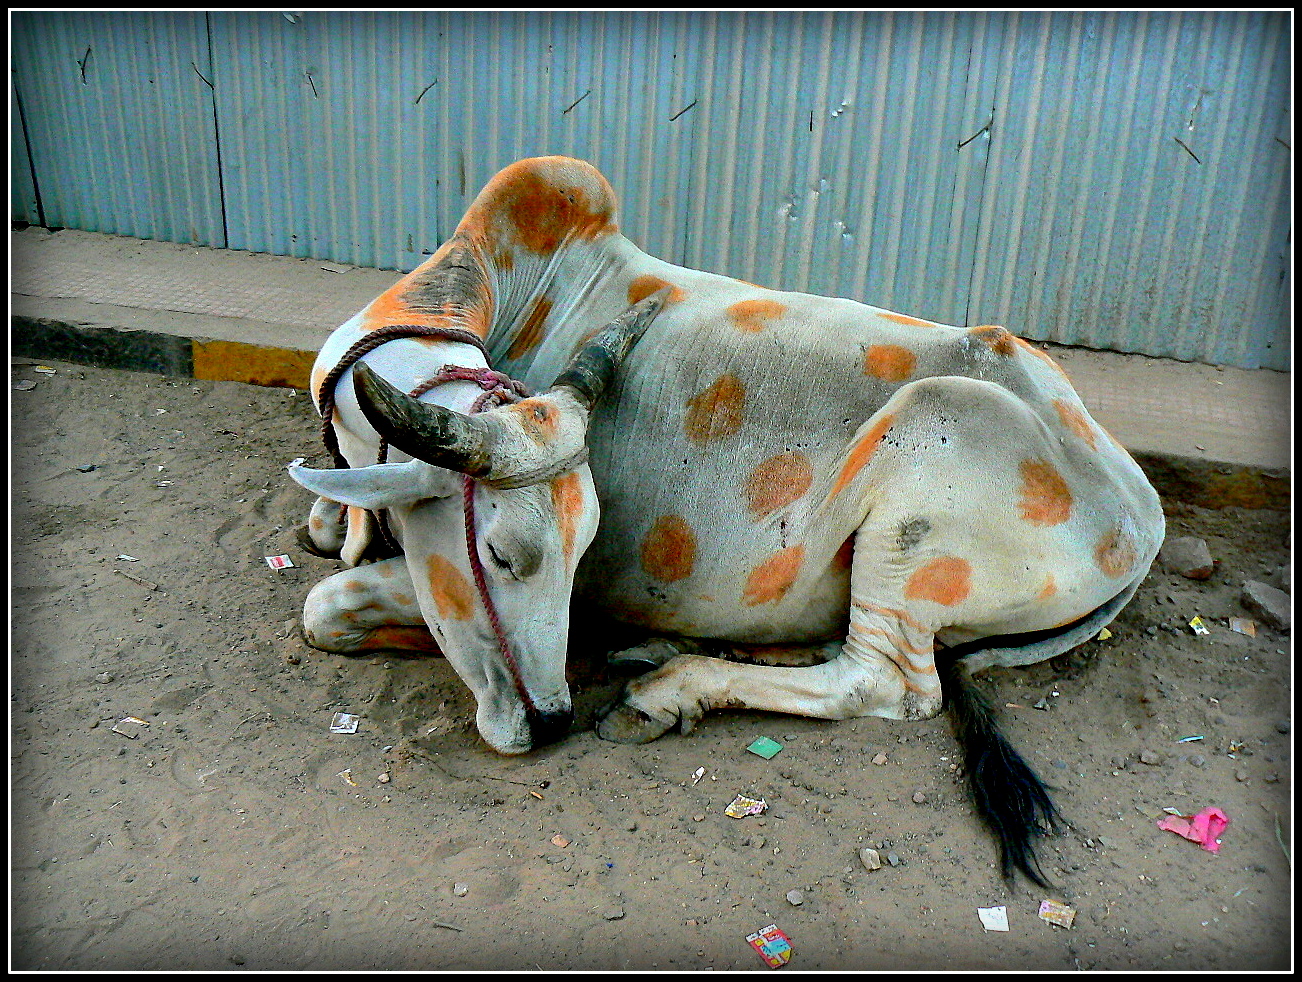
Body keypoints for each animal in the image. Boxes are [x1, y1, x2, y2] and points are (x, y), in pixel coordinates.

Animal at [295, 154, 1171, 880]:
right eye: (503, 556)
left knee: (882, 681)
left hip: (923, 476)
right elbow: (324, 535)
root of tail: (1140, 506)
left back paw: (667, 689)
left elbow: (323, 605)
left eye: (548, 556)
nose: (549, 724)